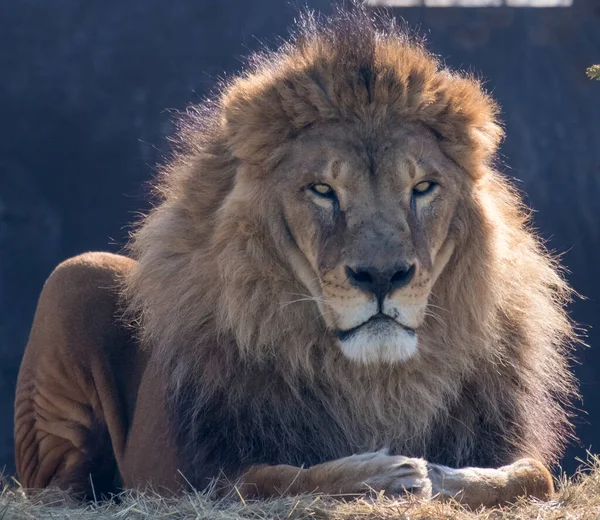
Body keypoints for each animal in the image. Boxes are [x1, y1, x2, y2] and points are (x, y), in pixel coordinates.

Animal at [14, 4, 576, 508]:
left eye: (423, 188)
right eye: (323, 190)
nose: (382, 276)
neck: (376, 379)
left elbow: (534, 475)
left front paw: (441, 474)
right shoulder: (200, 477)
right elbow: (273, 479)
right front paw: (385, 473)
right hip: (75, 275)